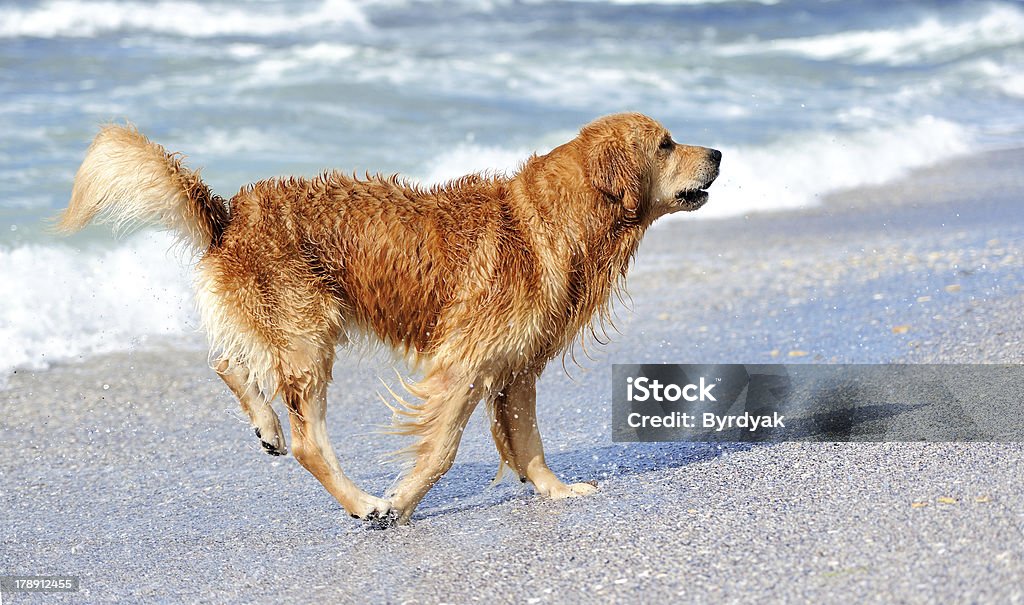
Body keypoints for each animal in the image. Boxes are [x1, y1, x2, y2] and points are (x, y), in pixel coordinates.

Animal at [58, 112, 720, 524]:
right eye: (665, 144)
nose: (716, 150)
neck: (561, 218)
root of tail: (229, 212)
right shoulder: (464, 363)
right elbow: (443, 448)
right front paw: (401, 503)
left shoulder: (516, 368)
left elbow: (529, 442)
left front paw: (557, 492)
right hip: (309, 331)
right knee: (309, 440)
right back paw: (361, 501)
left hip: (282, 322)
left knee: (226, 360)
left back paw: (267, 426)